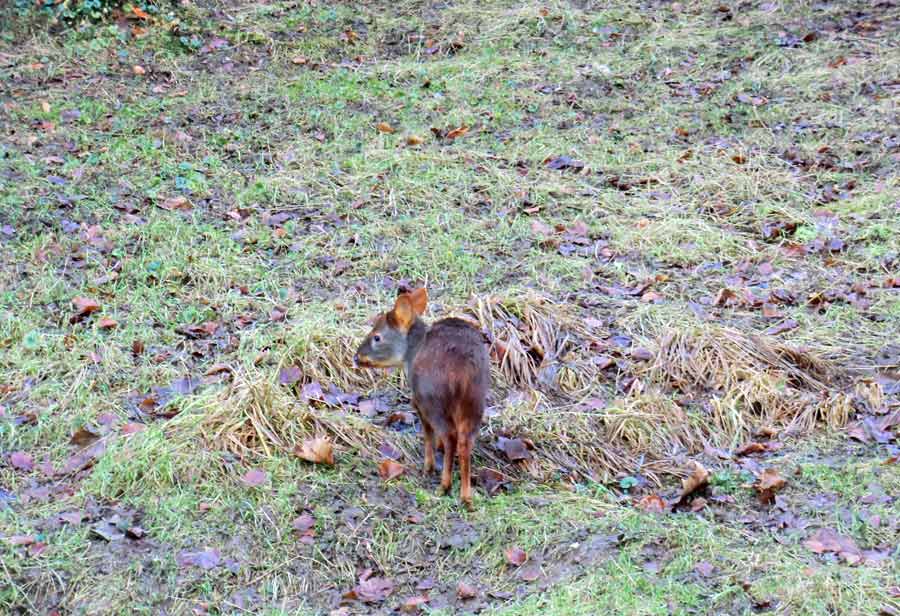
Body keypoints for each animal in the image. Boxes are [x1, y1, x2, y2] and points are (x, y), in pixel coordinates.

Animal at [356, 288, 488, 510]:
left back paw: (444, 485)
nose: (356, 357)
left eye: (377, 337)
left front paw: (429, 466)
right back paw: (466, 496)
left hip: (431, 399)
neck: (410, 355)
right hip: (474, 402)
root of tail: (462, 370)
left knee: (450, 435)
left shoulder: (418, 402)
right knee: (465, 442)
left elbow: (428, 436)